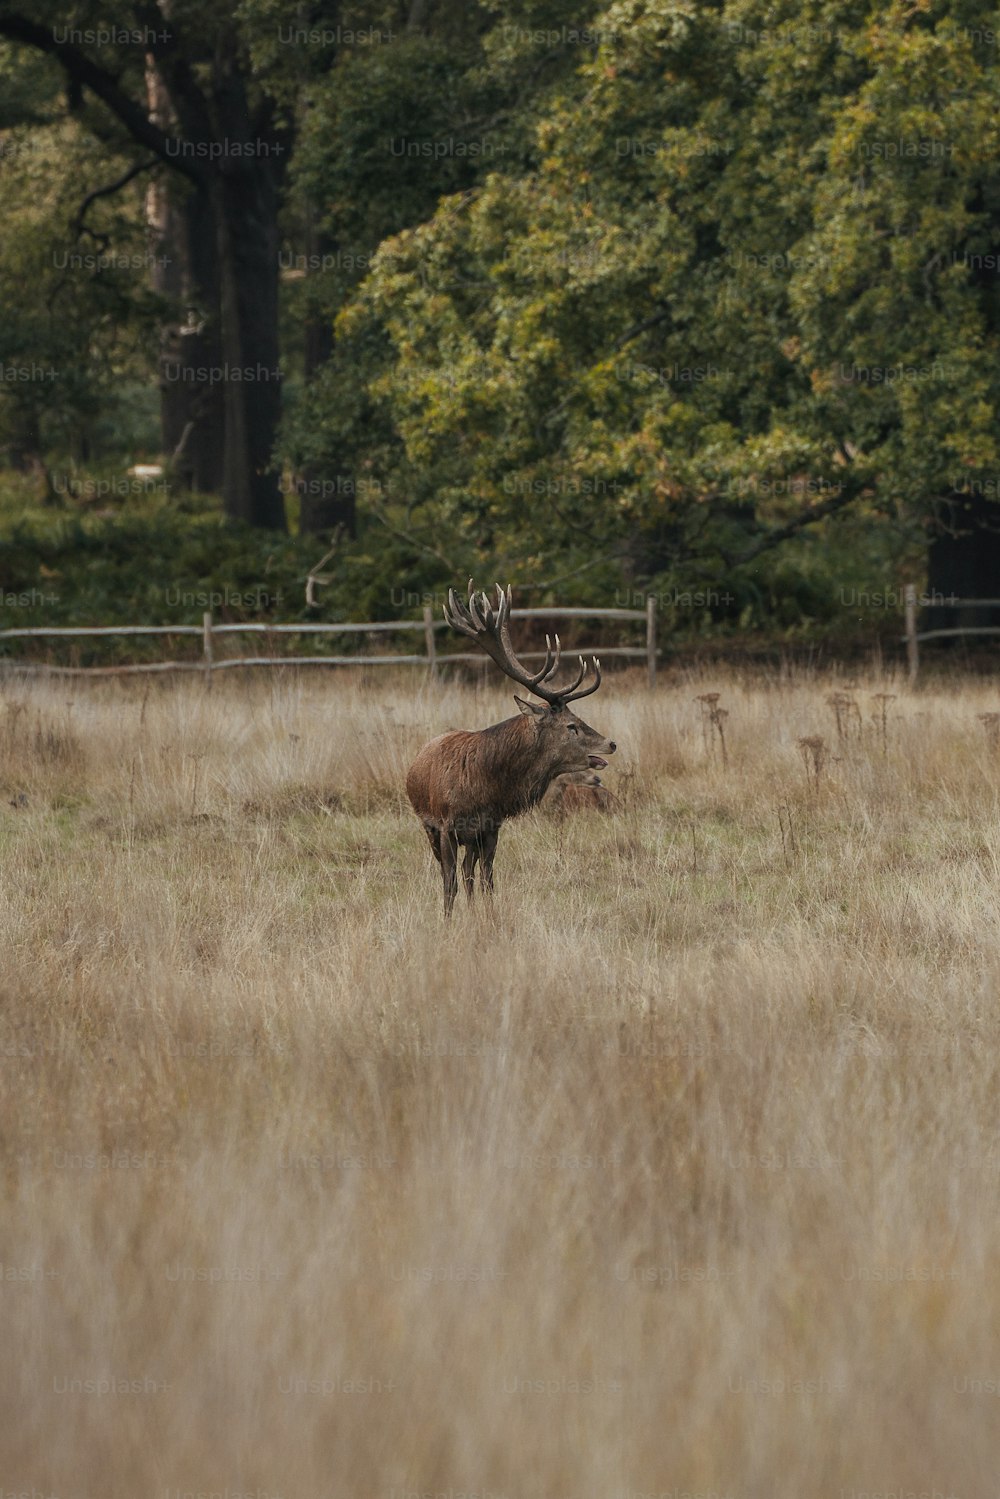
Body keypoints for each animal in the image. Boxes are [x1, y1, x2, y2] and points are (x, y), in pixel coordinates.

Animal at [407, 581, 617, 911]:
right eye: (571, 726)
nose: (611, 743)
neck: (481, 786)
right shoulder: (445, 826)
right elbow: (449, 884)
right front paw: (448, 918)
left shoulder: (491, 827)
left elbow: (487, 880)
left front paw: (487, 916)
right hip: (429, 826)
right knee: (454, 872)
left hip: (473, 837)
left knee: (469, 871)